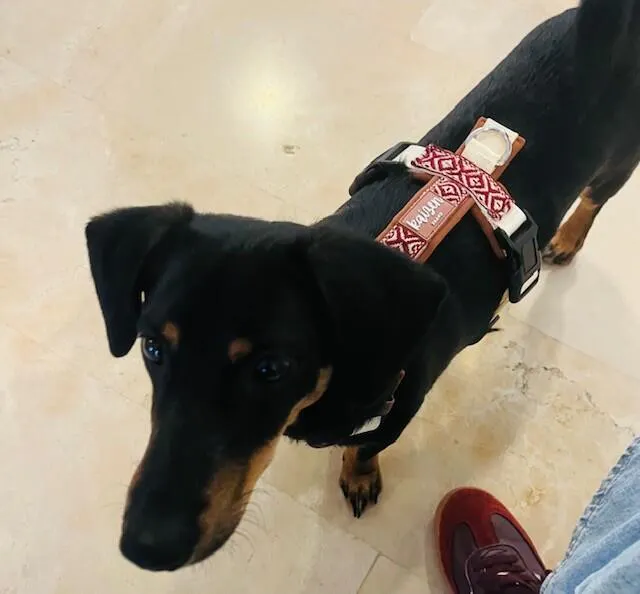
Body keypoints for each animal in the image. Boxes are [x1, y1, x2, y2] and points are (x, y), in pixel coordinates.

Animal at [86, 0, 640, 572]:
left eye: (270, 369)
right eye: (152, 347)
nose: (146, 547)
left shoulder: (399, 411)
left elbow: (365, 447)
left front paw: (357, 477)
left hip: (622, 158)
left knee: (597, 198)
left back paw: (568, 239)